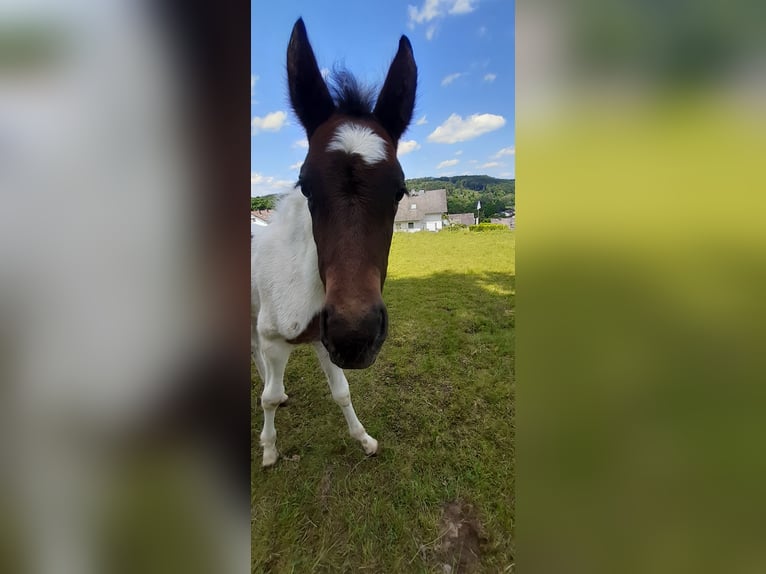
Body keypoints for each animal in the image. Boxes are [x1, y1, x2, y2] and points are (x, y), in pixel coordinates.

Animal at [252, 16, 416, 468]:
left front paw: (364, 440)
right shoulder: (277, 338)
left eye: (400, 190)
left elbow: (341, 391)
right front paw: (268, 450)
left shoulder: (321, 338)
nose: (355, 335)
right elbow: (267, 398)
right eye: (306, 185)